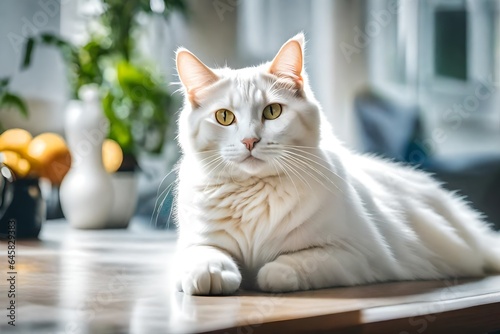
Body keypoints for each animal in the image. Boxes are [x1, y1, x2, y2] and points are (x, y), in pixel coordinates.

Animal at [172, 34, 500, 294]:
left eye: (273, 111)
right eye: (224, 117)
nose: (250, 141)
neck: (256, 193)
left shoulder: (355, 254)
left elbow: (293, 263)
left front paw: (266, 274)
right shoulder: (193, 243)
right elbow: (204, 255)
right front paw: (213, 275)